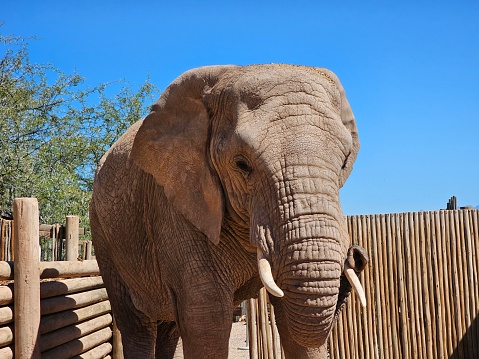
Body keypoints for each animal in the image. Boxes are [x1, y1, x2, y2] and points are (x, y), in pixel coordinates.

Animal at [89, 65, 368, 359]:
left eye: (344, 162)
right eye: (242, 164)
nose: (356, 255)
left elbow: (295, 325)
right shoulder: (175, 205)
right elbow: (207, 318)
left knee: (169, 327)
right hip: (104, 234)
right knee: (137, 324)